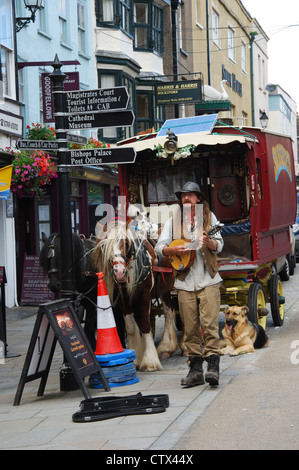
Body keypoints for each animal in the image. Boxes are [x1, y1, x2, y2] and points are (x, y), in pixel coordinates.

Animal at [92, 220, 179, 370]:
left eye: (126, 243)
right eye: (105, 245)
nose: (119, 272)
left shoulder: (144, 296)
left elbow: (144, 323)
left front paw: (150, 361)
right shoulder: (123, 299)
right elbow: (131, 327)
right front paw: (136, 357)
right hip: (165, 288)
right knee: (169, 309)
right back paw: (167, 347)